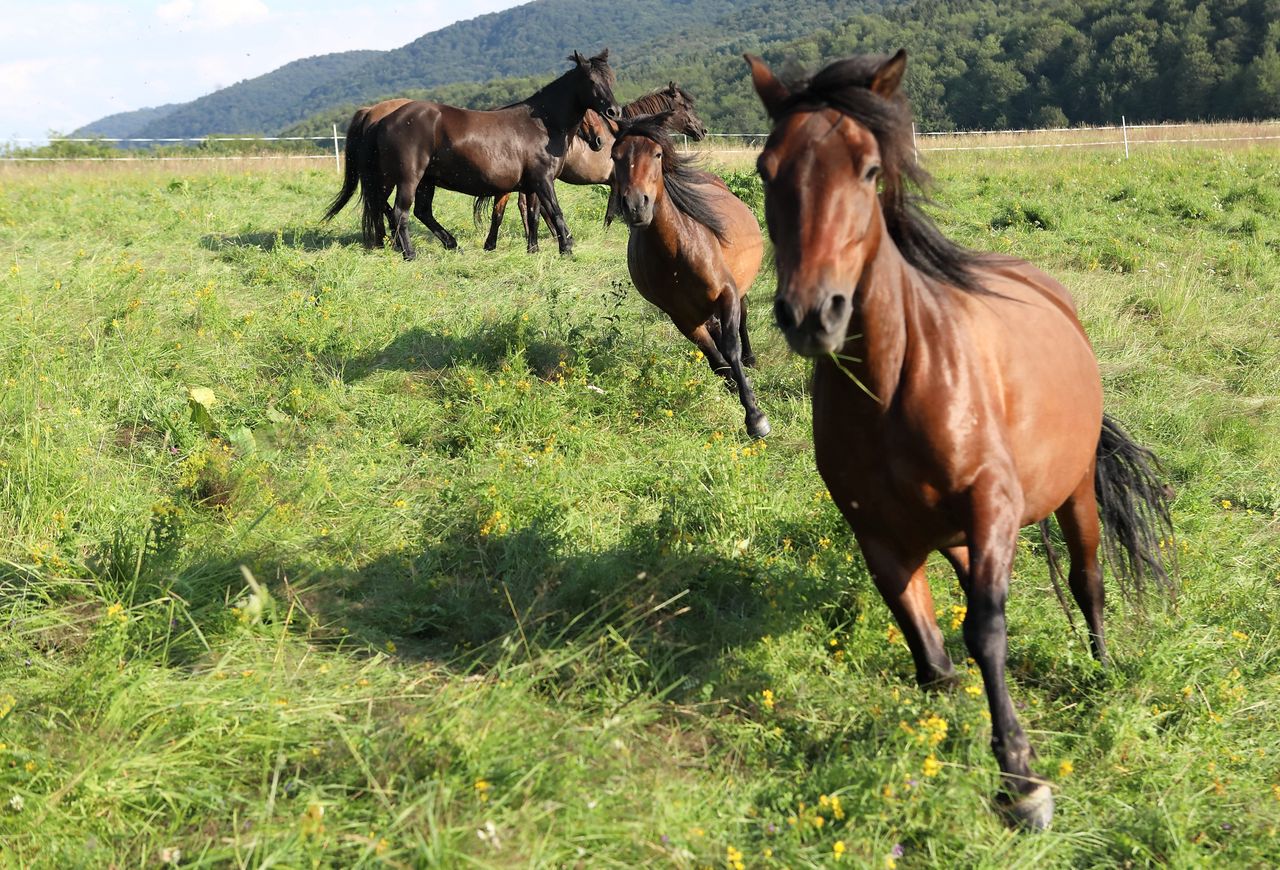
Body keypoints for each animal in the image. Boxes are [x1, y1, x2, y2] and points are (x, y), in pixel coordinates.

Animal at [358, 48, 622, 258]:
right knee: (400, 213)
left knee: (415, 211)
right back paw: (410, 253)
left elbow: (534, 215)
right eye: (591, 80)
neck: (543, 124)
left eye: (610, 79)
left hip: (420, 180)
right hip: (407, 178)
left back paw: (450, 245)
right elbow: (555, 211)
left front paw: (534, 250)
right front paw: (566, 248)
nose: (614, 111)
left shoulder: (531, 186)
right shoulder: (543, 181)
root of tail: (382, 119)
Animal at [609, 114, 768, 437]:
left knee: (742, 321)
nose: (636, 206)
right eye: (614, 156)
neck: (676, 253)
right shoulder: (682, 317)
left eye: (657, 154)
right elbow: (715, 359)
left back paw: (750, 360)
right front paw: (735, 388)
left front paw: (755, 416)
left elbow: (730, 347)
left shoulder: (727, 293)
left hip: (739, 290)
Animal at [747, 52, 1172, 829]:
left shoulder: (991, 501)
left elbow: (986, 630)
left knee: (1087, 581)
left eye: (869, 170)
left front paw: (1022, 781)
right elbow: (931, 658)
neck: (892, 389)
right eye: (766, 170)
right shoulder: (878, 535)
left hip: (1073, 495)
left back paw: (1103, 669)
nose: (812, 315)